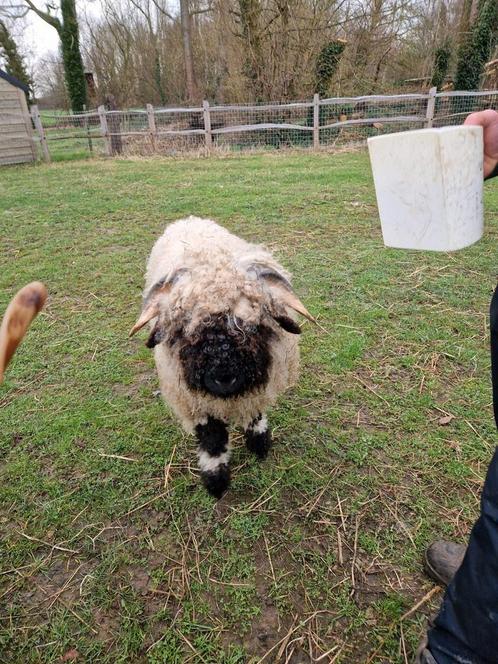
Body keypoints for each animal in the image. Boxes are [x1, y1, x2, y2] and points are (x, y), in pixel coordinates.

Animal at [130, 218, 314, 498]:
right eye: (184, 329)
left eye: (254, 325)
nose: (223, 378)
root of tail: (188, 219)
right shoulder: (194, 401)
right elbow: (212, 437)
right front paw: (216, 481)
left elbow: (255, 413)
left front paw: (259, 443)